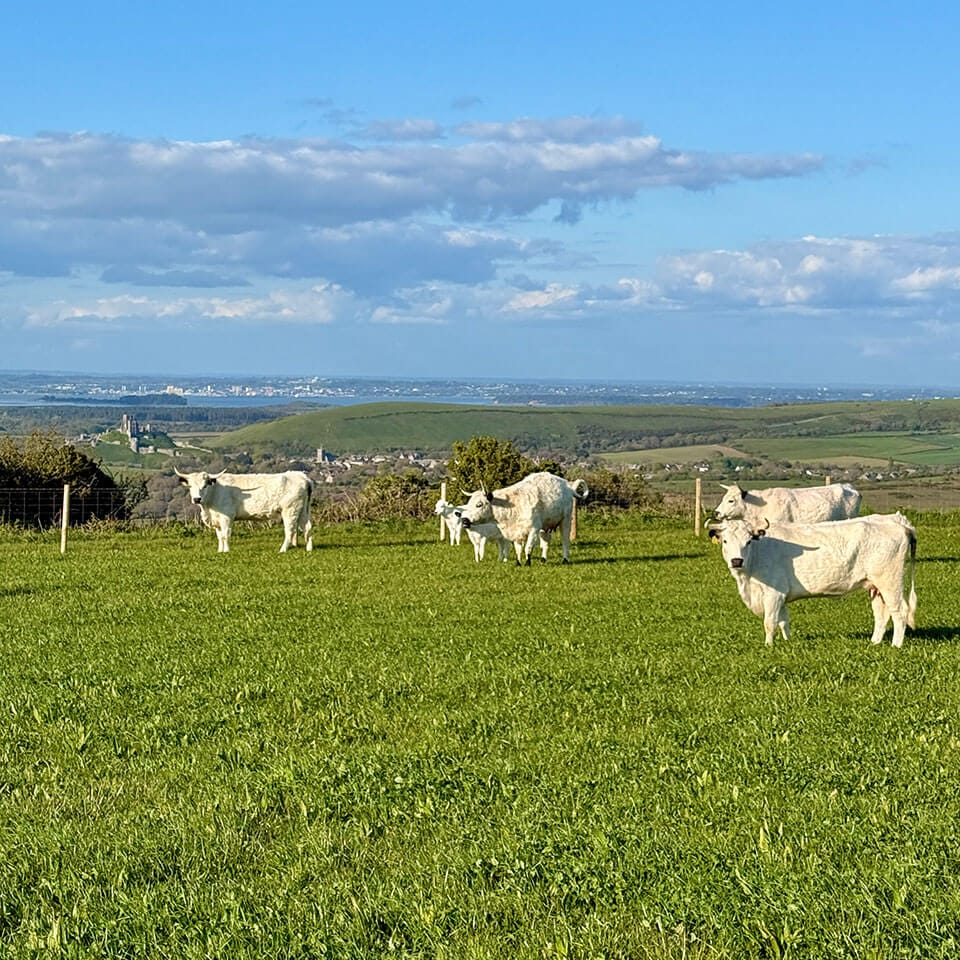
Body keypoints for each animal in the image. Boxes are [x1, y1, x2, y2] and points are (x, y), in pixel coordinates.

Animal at [174, 468, 314, 553]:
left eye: (204, 486)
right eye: (190, 486)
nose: (197, 499)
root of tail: (302, 476)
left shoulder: (226, 517)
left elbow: (225, 535)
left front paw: (226, 551)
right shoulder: (217, 520)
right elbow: (219, 536)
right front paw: (220, 551)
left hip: (290, 510)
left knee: (290, 530)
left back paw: (282, 549)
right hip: (302, 510)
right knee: (307, 527)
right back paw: (309, 548)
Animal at [457, 472, 589, 565]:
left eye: (479, 504)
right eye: (468, 504)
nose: (464, 520)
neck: (512, 505)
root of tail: (567, 487)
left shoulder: (533, 529)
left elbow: (528, 547)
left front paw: (527, 563)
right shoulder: (517, 532)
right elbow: (518, 549)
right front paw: (518, 563)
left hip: (565, 520)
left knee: (565, 540)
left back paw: (565, 559)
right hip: (545, 527)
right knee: (546, 541)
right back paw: (543, 559)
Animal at [709, 513, 917, 647]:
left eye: (748, 541)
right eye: (725, 541)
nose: (736, 560)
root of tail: (897, 520)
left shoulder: (773, 594)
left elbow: (770, 622)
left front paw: (768, 646)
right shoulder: (781, 595)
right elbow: (784, 621)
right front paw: (788, 642)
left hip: (890, 582)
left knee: (900, 612)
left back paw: (895, 646)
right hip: (876, 586)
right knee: (881, 614)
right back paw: (874, 643)